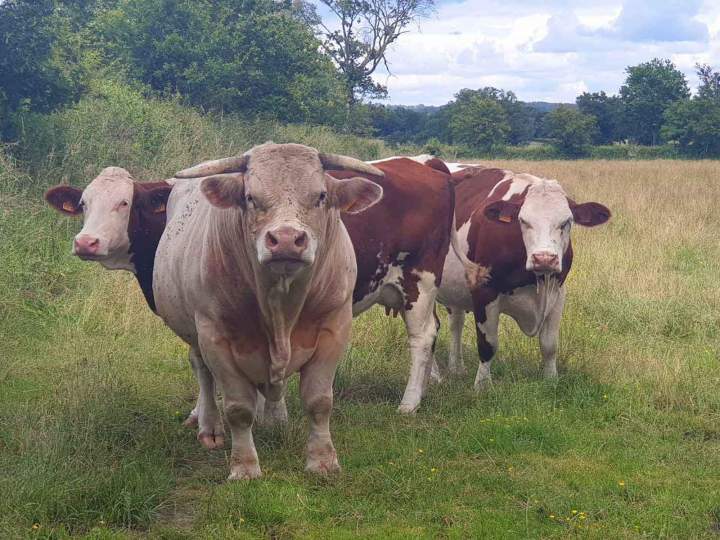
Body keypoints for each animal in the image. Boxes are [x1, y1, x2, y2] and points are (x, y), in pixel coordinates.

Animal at [155, 143, 383, 479]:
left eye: (321, 196)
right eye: (251, 197)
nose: (286, 239)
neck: (280, 311)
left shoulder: (334, 328)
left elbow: (319, 401)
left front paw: (322, 461)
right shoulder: (215, 337)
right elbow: (238, 408)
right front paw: (245, 466)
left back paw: (275, 419)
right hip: (192, 332)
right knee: (204, 374)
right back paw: (209, 427)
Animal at [435, 167, 610, 388]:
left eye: (566, 222)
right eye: (523, 221)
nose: (544, 258)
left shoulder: (558, 292)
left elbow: (550, 344)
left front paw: (551, 381)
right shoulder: (484, 292)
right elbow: (488, 344)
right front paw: (482, 386)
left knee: (455, 323)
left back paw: (456, 368)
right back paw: (433, 375)